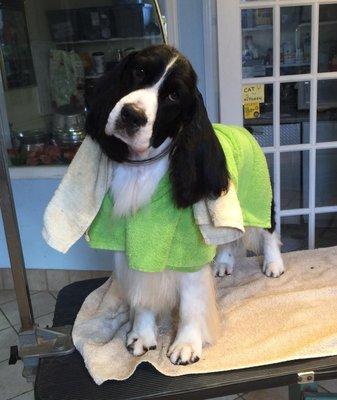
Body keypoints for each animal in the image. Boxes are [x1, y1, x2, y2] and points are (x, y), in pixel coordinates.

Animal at [84, 44, 284, 366]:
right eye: (139, 71)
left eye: (174, 96)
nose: (131, 115)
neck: (142, 170)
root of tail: (244, 129)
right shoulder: (132, 244)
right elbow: (143, 293)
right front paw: (141, 336)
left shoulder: (186, 249)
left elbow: (191, 301)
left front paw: (186, 346)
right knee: (226, 238)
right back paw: (224, 264)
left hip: (258, 195)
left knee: (268, 229)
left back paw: (274, 264)